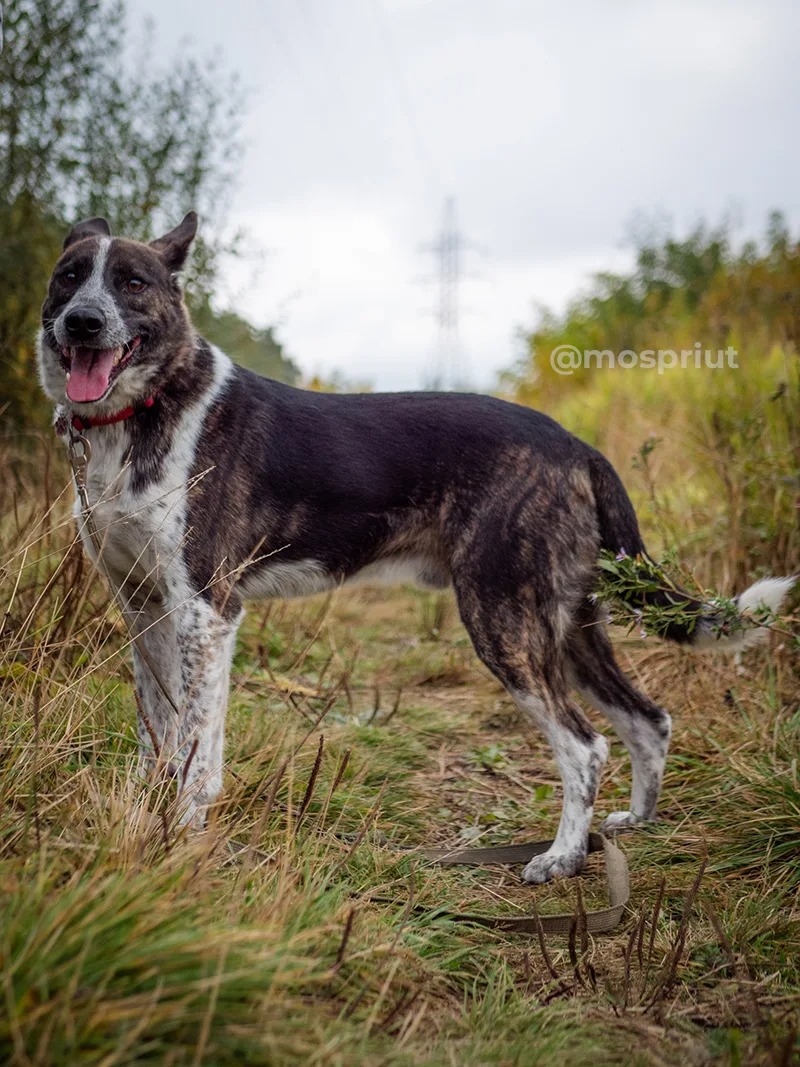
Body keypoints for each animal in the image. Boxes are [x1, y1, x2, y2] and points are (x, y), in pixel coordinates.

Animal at [39, 214, 797, 883]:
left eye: (133, 282)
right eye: (69, 276)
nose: (83, 322)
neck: (140, 413)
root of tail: (575, 444)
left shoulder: (205, 611)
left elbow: (197, 749)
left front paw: (184, 832)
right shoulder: (145, 609)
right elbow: (156, 734)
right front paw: (145, 811)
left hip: (504, 620)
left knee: (585, 746)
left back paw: (561, 859)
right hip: (571, 622)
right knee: (648, 720)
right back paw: (633, 827)